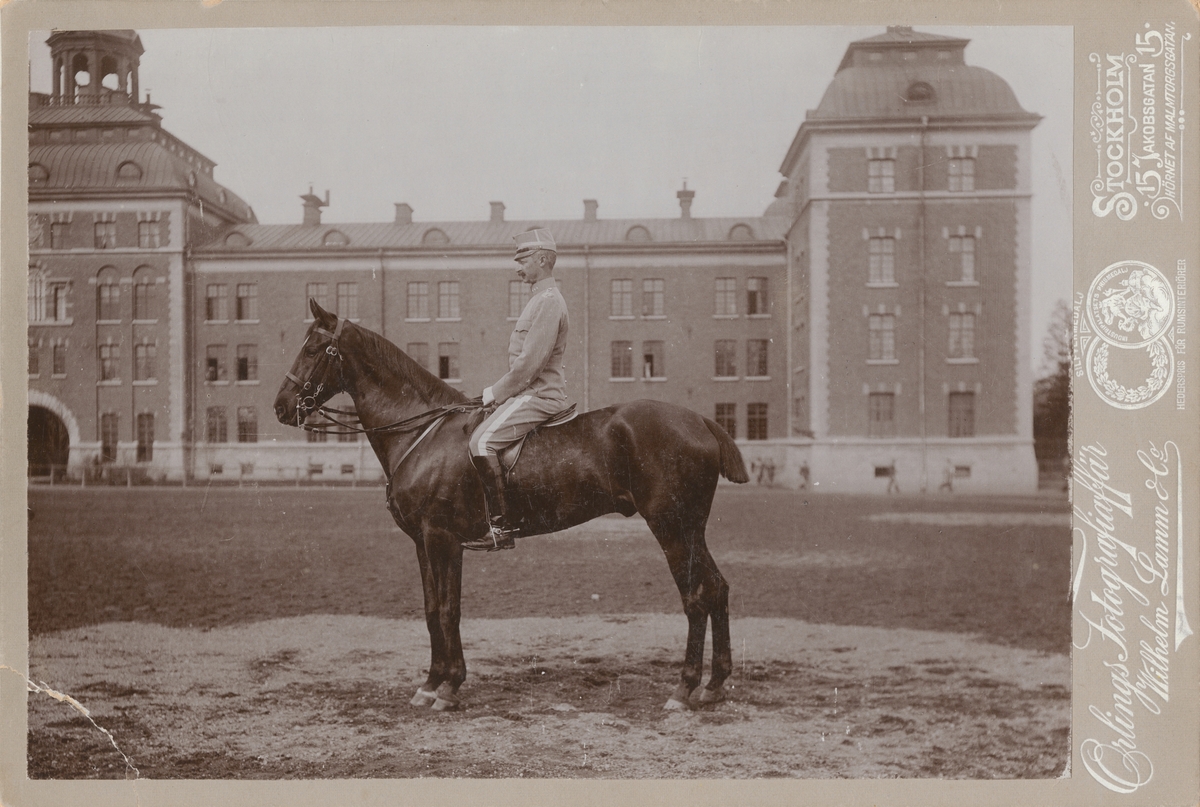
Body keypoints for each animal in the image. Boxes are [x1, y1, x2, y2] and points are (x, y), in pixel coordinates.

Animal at [276, 302, 744, 710]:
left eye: (314, 349)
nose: (281, 406)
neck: (423, 432)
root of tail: (701, 420)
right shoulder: (423, 541)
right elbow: (431, 610)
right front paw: (430, 684)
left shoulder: (442, 538)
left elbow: (448, 610)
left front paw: (449, 687)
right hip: (691, 529)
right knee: (716, 588)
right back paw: (714, 685)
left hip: (671, 528)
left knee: (695, 597)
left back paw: (683, 690)